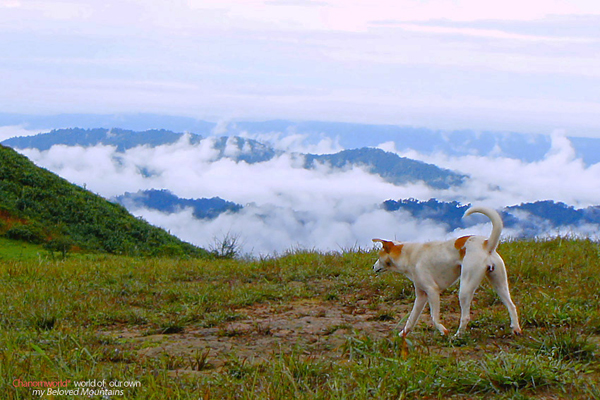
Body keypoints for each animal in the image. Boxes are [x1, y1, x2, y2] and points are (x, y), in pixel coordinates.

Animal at [372, 206, 524, 338]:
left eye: (379, 255)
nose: (373, 267)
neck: (408, 254)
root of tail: (486, 244)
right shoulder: (421, 296)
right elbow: (411, 319)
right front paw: (401, 335)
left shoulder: (432, 291)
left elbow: (434, 317)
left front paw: (443, 331)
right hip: (500, 284)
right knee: (511, 306)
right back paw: (516, 329)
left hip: (465, 288)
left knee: (465, 316)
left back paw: (457, 336)